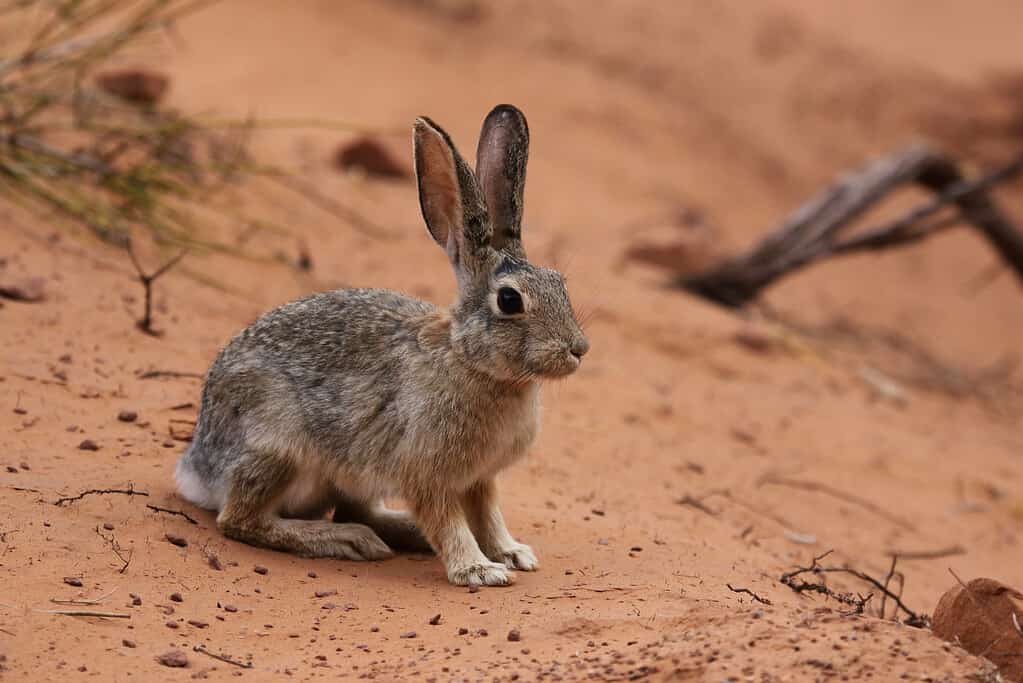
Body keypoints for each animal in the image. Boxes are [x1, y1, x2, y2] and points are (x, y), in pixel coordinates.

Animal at [175, 105, 589, 588]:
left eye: (559, 283)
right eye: (509, 300)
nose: (578, 349)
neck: (469, 359)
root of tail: (197, 469)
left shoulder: (480, 479)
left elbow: (489, 516)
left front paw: (512, 553)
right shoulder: (426, 473)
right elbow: (449, 522)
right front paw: (479, 570)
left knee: (353, 510)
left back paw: (395, 532)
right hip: (279, 447)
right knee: (241, 519)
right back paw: (348, 541)